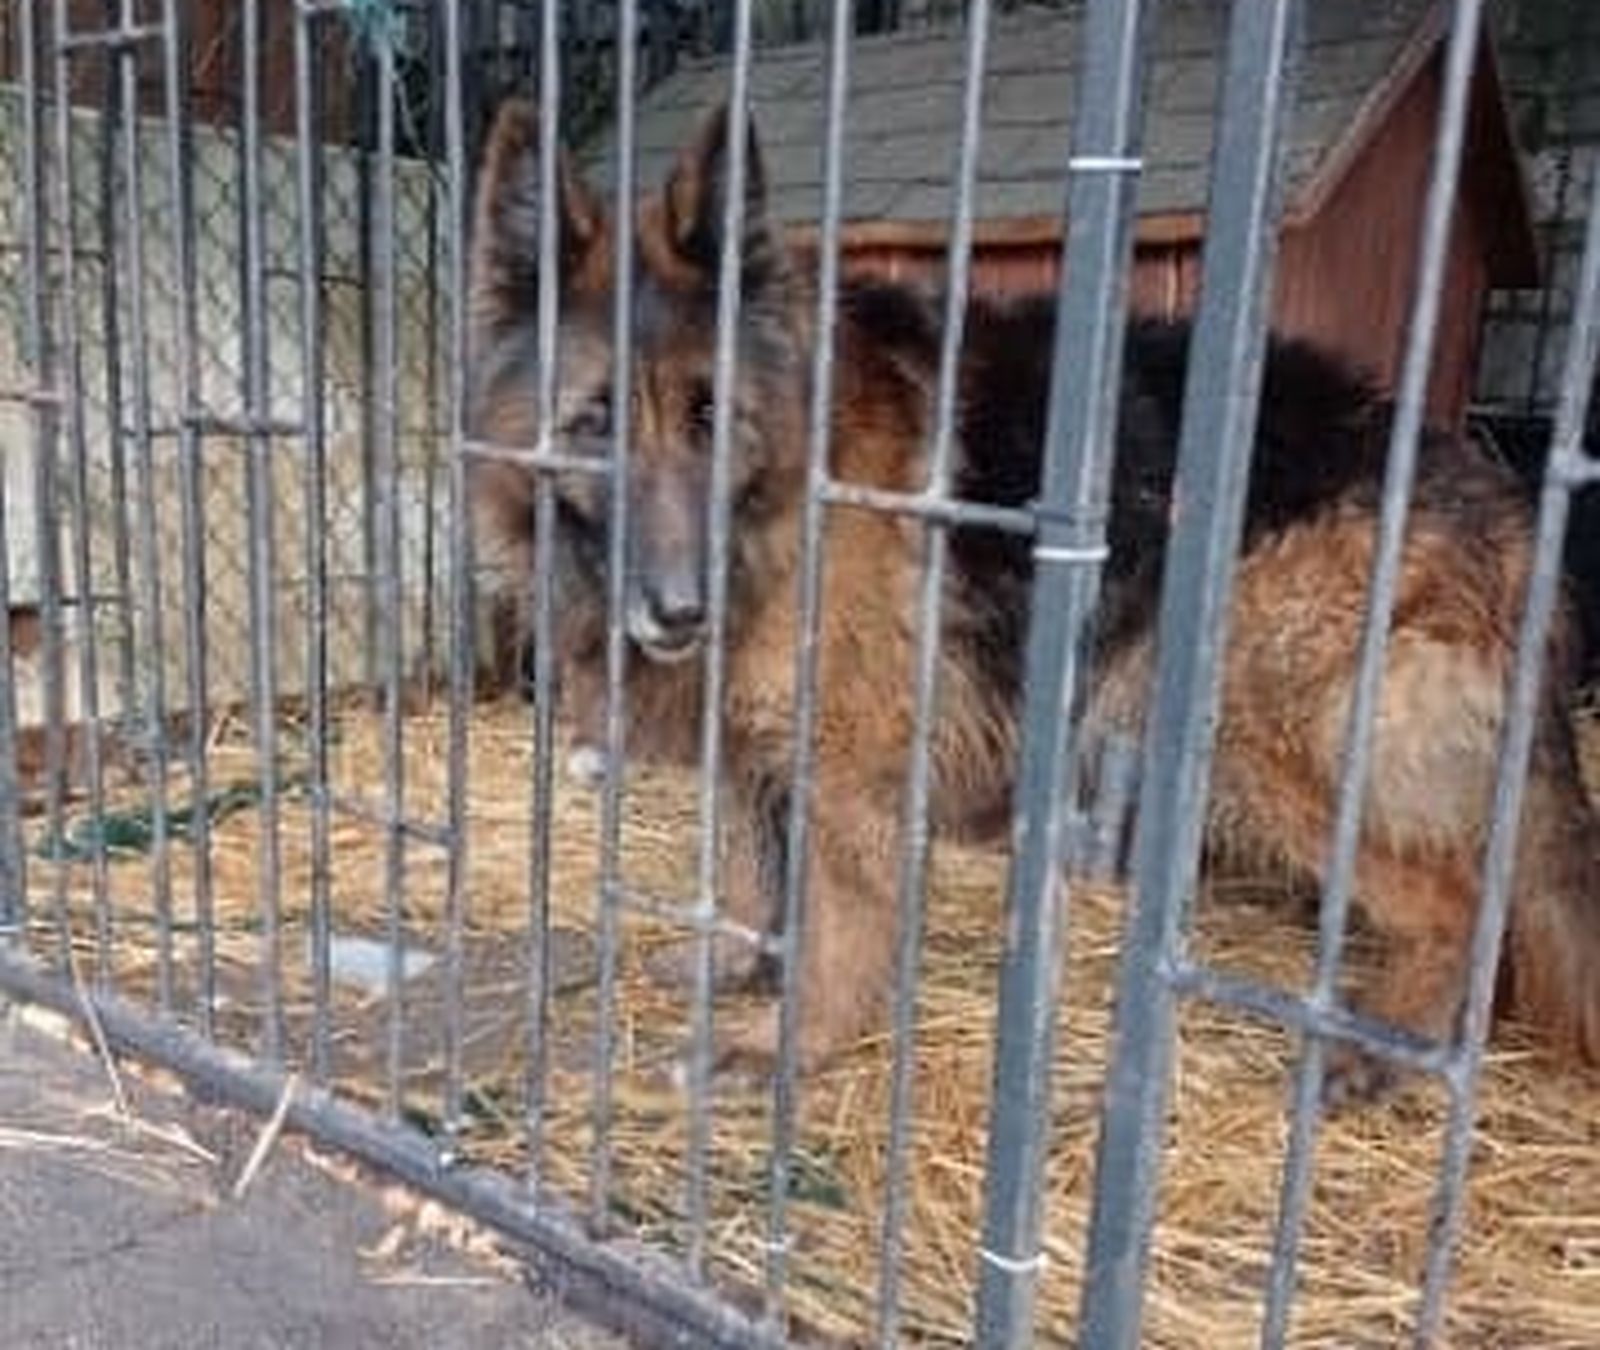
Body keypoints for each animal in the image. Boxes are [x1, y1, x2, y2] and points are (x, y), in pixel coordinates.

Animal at [467, 97, 1600, 1106]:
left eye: (713, 418)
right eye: (594, 422)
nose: (680, 613)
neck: (793, 484)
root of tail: (1495, 493)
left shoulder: (849, 768)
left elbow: (836, 918)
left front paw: (793, 1042)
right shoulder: (756, 749)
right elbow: (756, 875)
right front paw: (739, 965)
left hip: (1262, 732)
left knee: (1460, 904)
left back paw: (1385, 1049)